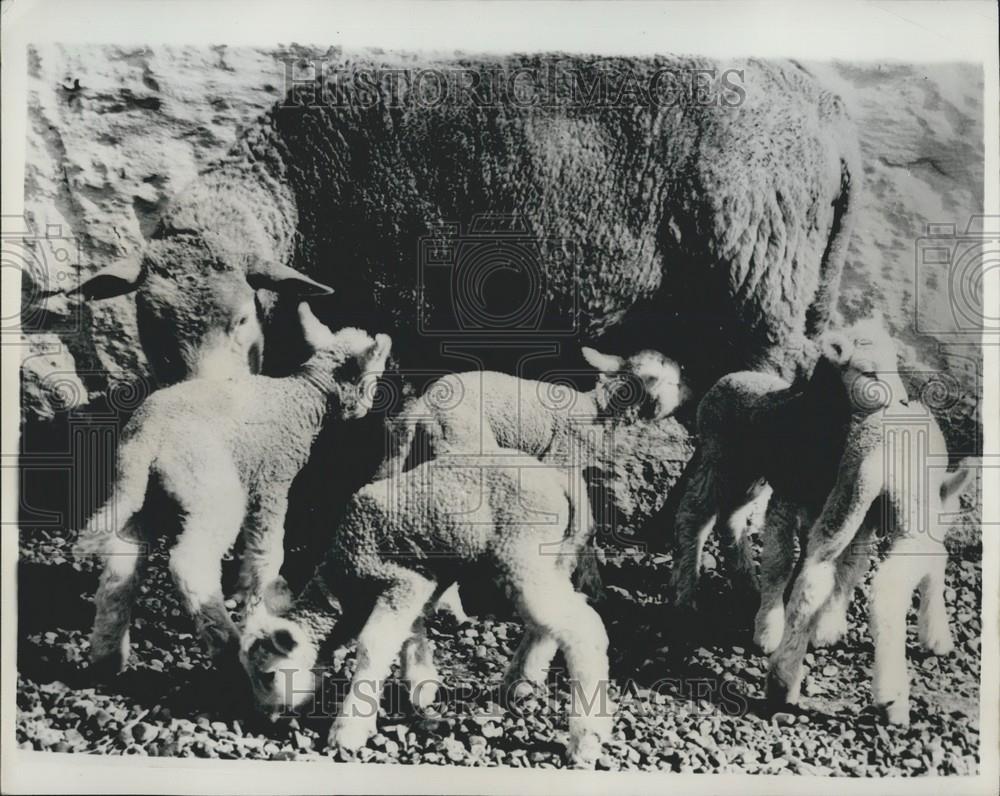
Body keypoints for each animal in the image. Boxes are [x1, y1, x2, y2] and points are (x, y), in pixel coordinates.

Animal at [69, 53, 860, 387]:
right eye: (146, 323)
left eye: (237, 320)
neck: (298, 182)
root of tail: (826, 110)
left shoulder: (407, 307)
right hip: (796, 286)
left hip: (756, 275)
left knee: (771, 373)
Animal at [73, 303, 392, 676]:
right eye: (374, 377)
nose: (366, 412)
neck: (301, 397)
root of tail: (146, 439)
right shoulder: (272, 482)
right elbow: (268, 553)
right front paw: (261, 606)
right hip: (211, 488)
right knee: (190, 565)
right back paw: (228, 650)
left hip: (143, 498)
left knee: (120, 566)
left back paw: (107, 656)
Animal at [240, 454, 614, 768]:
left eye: (268, 674)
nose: (262, 720)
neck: (343, 591)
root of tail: (560, 479)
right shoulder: (421, 578)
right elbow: (412, 631)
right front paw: (422, 683)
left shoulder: (401, 579)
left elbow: (374, 644)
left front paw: (348, 729)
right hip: (552, 555)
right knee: (549, 623)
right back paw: (519, 681)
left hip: (523, 548)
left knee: (583, 627)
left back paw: (586, 738)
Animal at [671, 315, 970, 724]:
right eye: (869, 372)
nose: (903, 402)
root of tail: (730, 377)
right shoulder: (789, 500)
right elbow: (781, 565)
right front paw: (769, 628)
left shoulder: (842, 512)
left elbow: (839, 569)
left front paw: (822, 625)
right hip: (720, 459)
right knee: (695, 516)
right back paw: (686, 593)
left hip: (752, 476)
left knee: (732, 519)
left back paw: (748, 589)